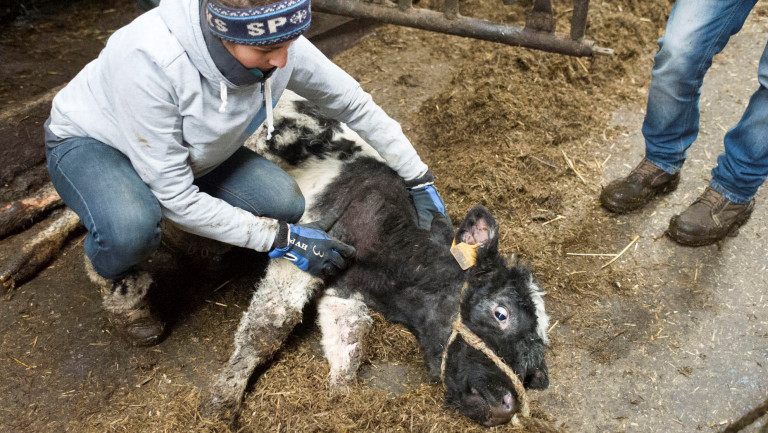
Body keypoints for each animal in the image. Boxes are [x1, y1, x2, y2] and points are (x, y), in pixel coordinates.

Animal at [207, 90, 548, 426]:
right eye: (501, 313)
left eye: (532, 364)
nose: (506, 405)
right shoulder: (307, 248)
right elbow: (269, 325)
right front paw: (222, 405)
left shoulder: (344, 292)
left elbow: (350, 342)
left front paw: (341, 400)